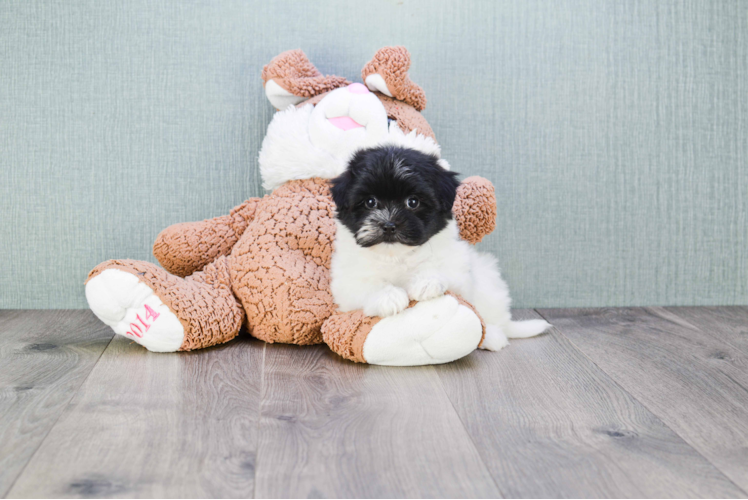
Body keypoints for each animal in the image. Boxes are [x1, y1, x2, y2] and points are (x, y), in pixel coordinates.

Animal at [330, 146, 552, 352]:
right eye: (370, 202)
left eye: (413, 202)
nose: (389, 225)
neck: (396, 255)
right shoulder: (345, 283)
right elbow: (363, 285)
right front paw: (388, 296)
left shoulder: (457, 266)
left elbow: (443, 270)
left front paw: (426, 281)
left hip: (488, 282)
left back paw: (492, 336)